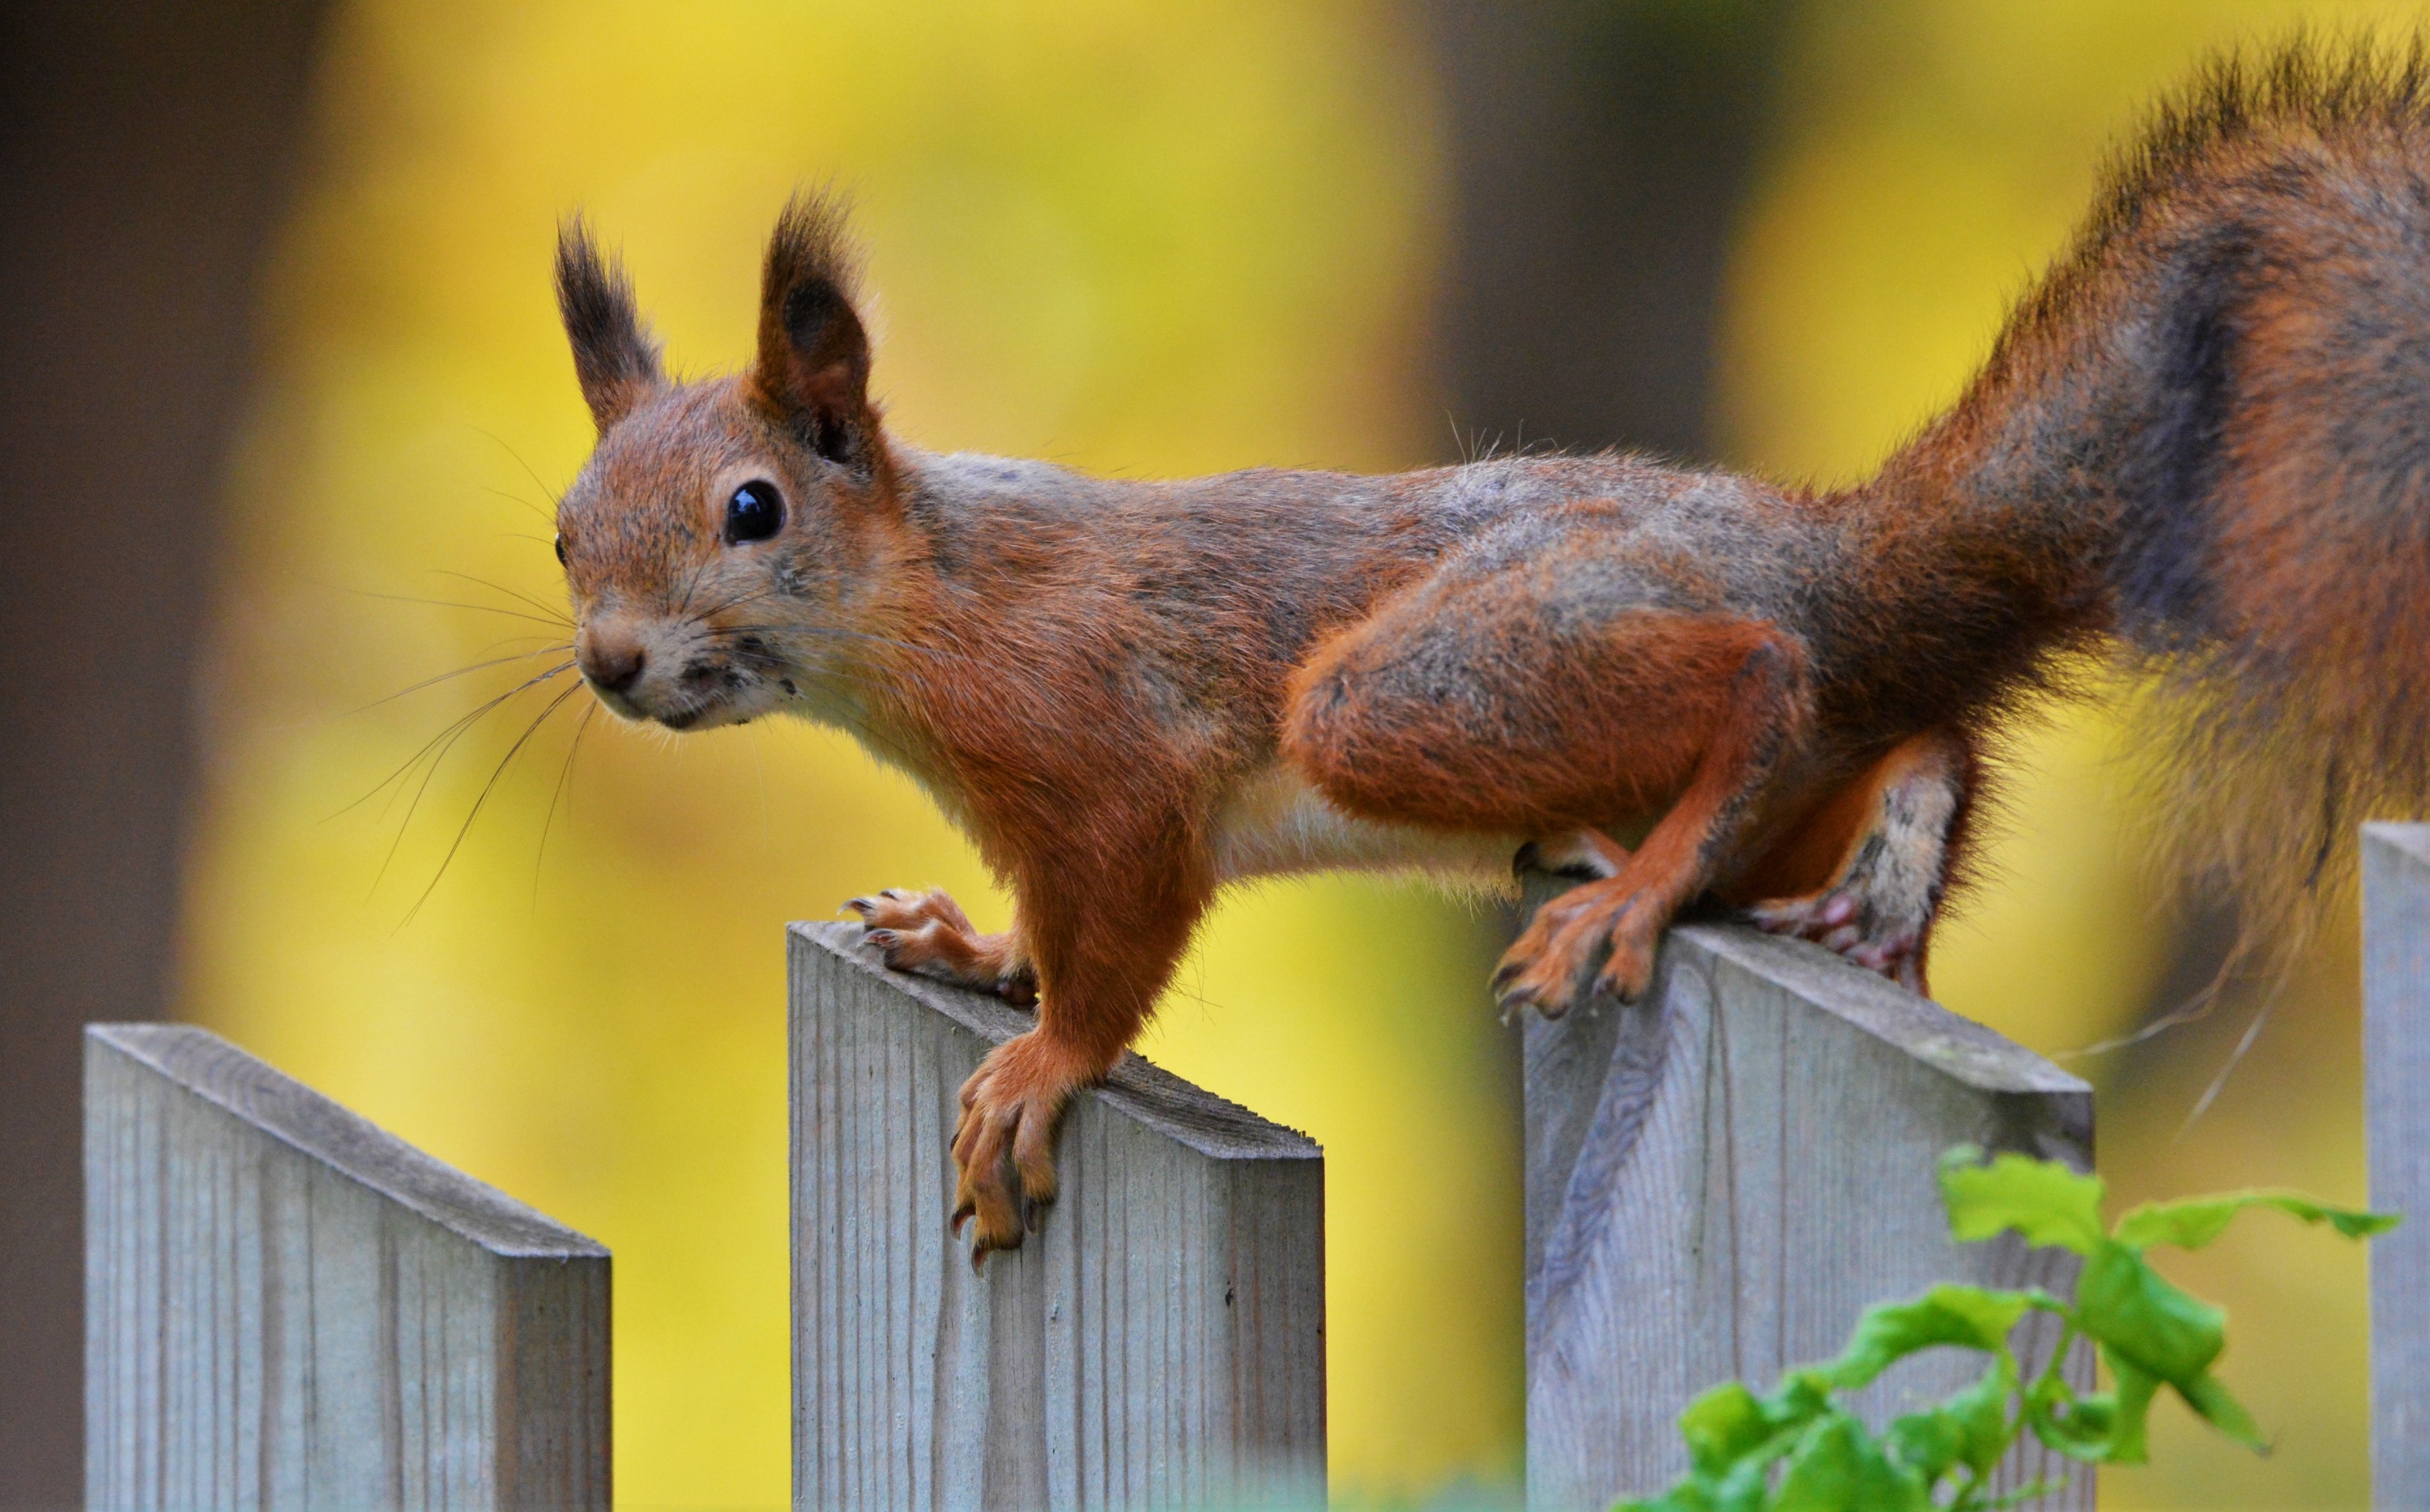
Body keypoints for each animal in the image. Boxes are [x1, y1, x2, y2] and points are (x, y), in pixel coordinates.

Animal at [556, 41, 2430, 1263]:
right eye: (569, 531)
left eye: (749, 510)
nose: (612, 665)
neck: (929, 607)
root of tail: (1824, 551)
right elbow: (1041, 925)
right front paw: (967, 944)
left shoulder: (1112, 755)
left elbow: (1118, 941)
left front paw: (1041, 1067)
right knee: (1910, 743)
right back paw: (1880, 880)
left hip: (1422, 683)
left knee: (1762, 679)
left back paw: (1644, 884)